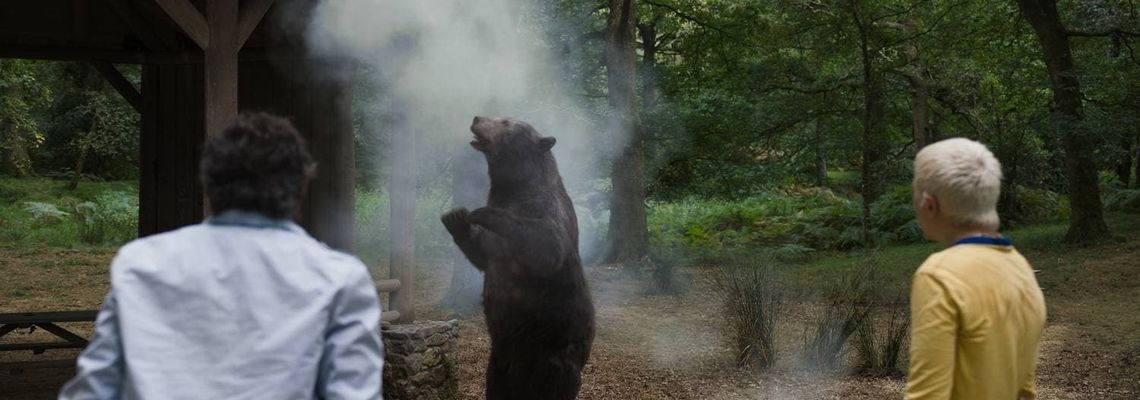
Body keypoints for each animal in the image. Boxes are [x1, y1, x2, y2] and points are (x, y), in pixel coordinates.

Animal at [441, 116, 596, 400]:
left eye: (505, 121)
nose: (476, 118)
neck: (514, 186)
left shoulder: (546, 212)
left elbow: (547, 246)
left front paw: (479, 212)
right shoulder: (497, 248)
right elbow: (484, 255)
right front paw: (456, 218)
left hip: (552, 349)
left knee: (556, 382)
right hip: (499, 359)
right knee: (496, 385)